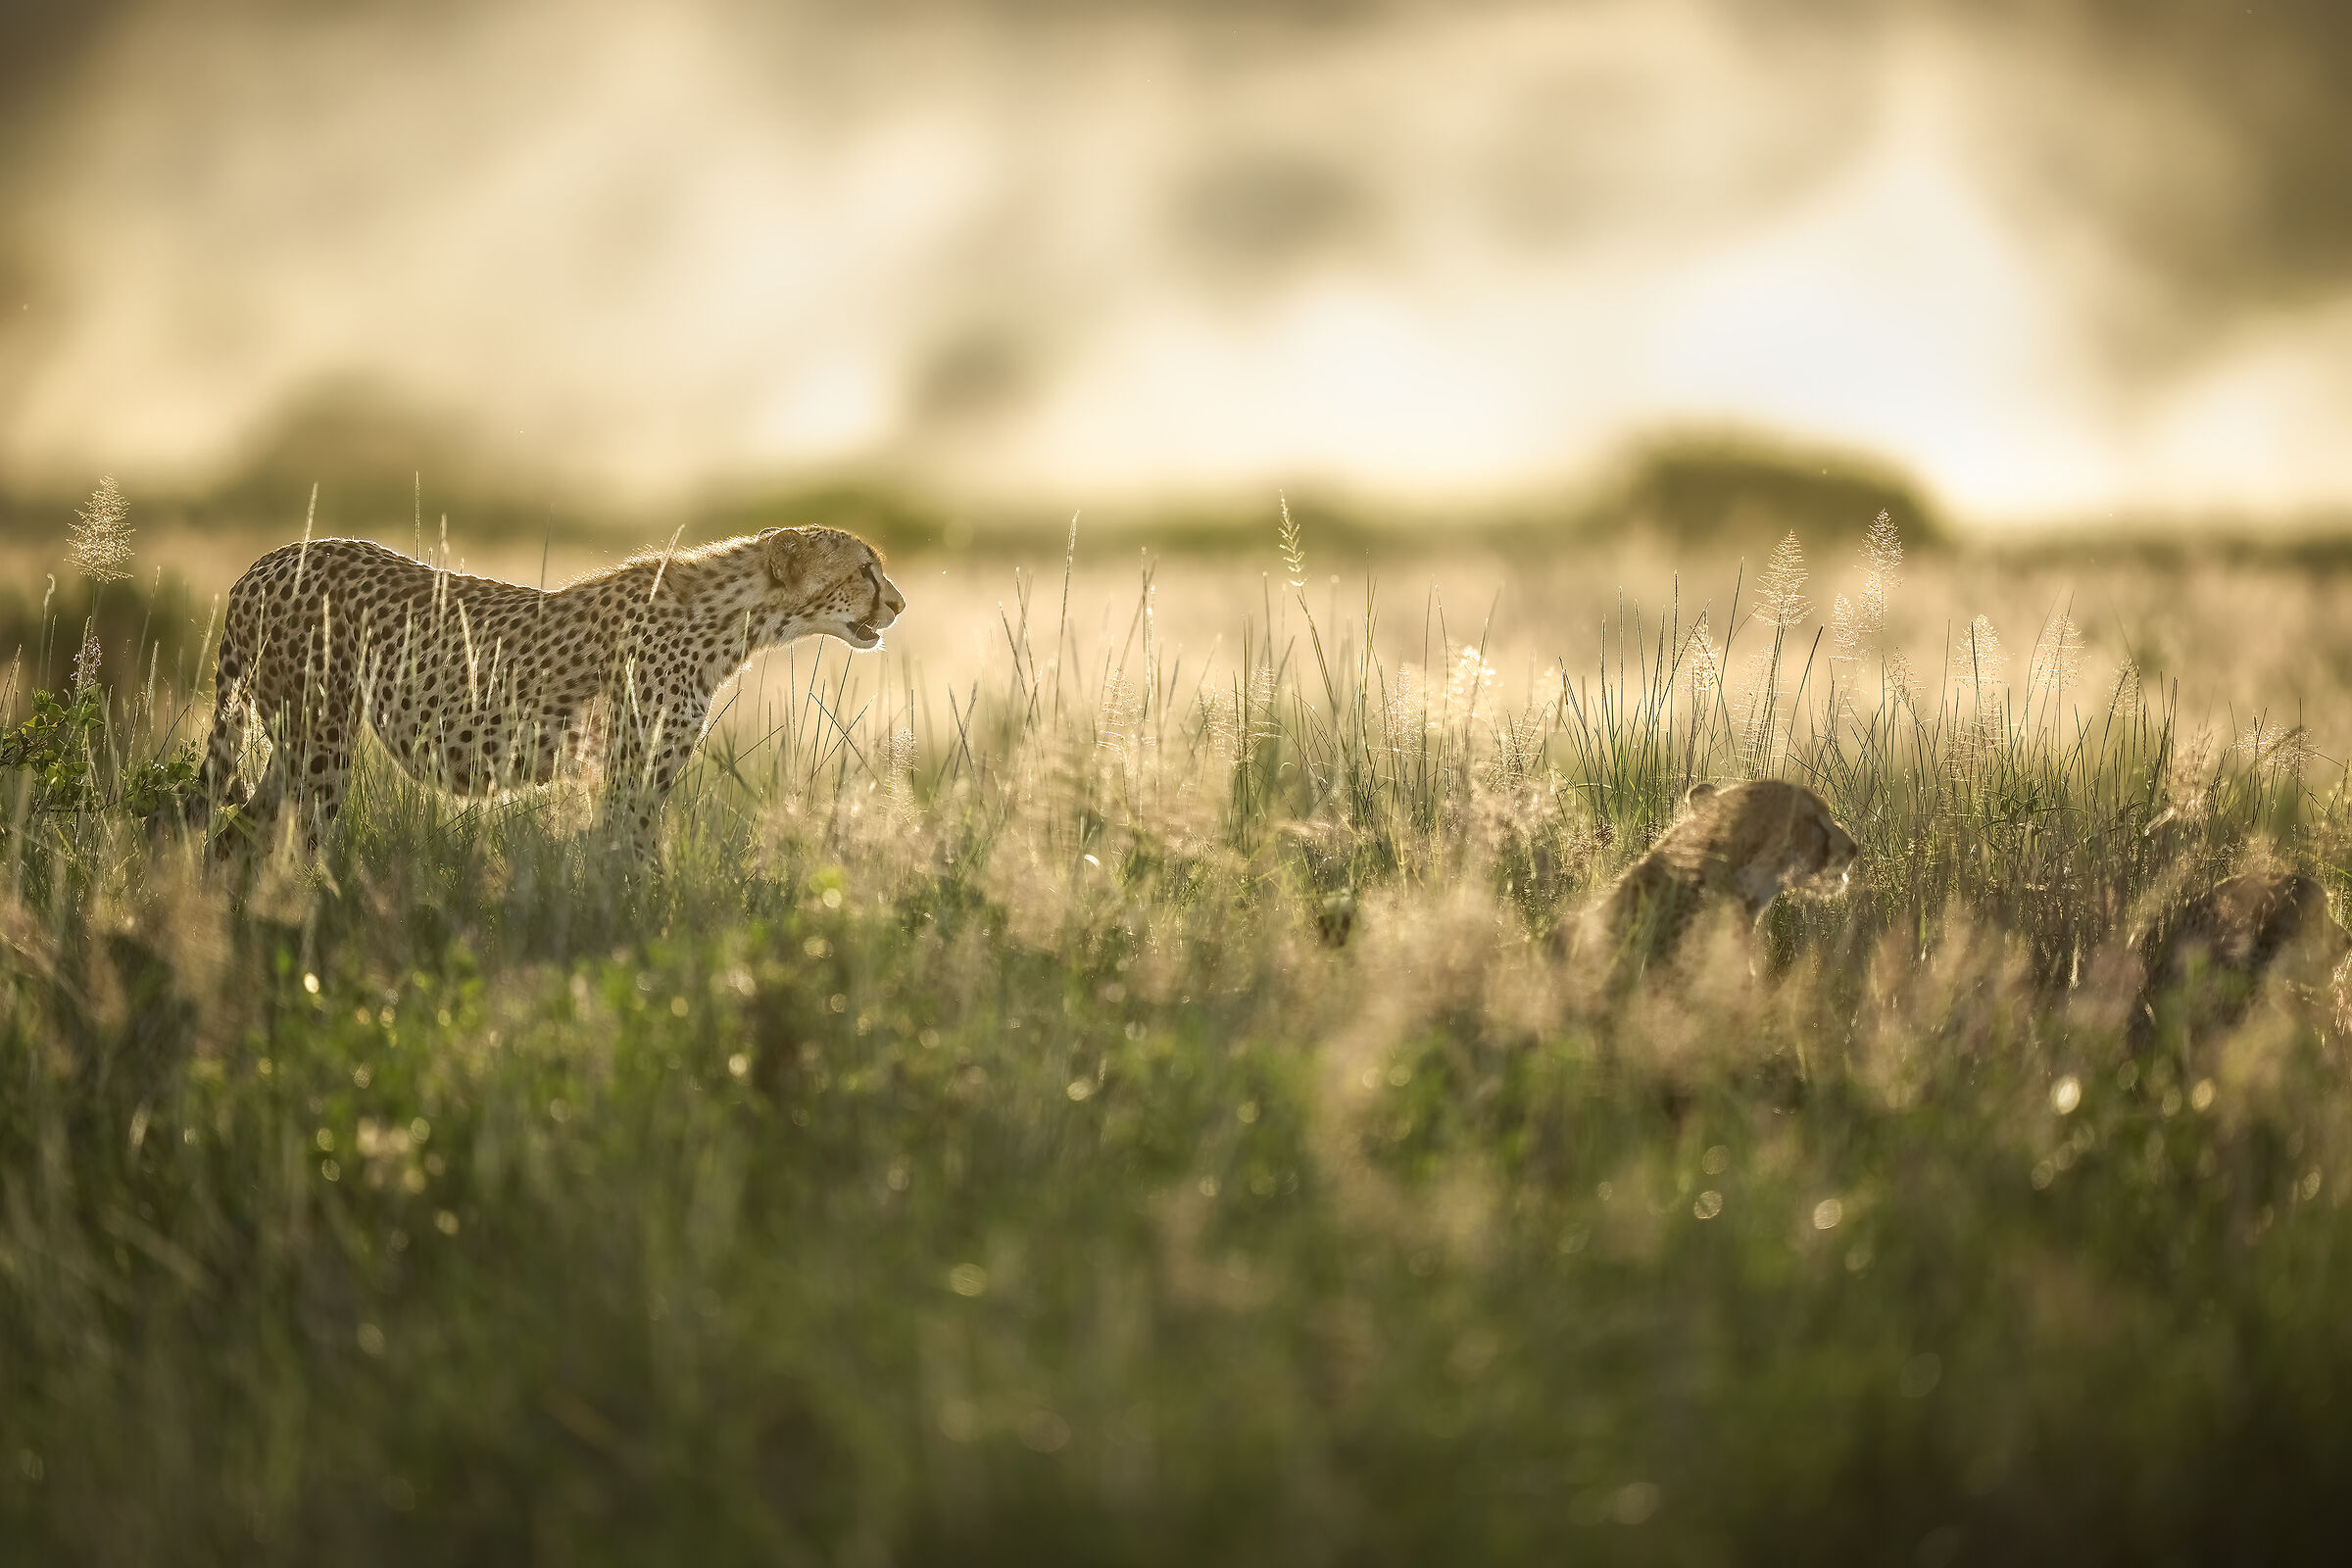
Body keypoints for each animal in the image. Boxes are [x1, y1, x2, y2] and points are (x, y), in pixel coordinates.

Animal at [185, 526, 904, 860]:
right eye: (864, 570)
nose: (898, 603)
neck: (735, 619)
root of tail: (267, 561)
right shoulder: (627, 778)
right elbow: (635, 863)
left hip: (295, 744)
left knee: (233, 836)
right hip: (320, 745)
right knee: (293, 848)